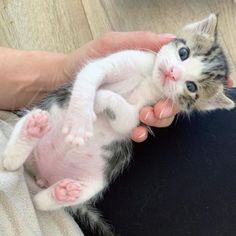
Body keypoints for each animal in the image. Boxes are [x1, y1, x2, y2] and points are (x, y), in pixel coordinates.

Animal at [1, 14, 234, 234]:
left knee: (39, 201)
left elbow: (124, 117)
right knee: (10, 163)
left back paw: (62, 191)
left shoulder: (138, 115)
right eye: (184, 53)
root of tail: (39, 176)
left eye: (191, 86)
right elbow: (89, 76)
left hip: (96, 182)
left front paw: (101, 98)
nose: (172, 73)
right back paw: (31, 130)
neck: (148, 79)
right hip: (38, 117)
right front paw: (80, 119)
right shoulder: (114, 60)